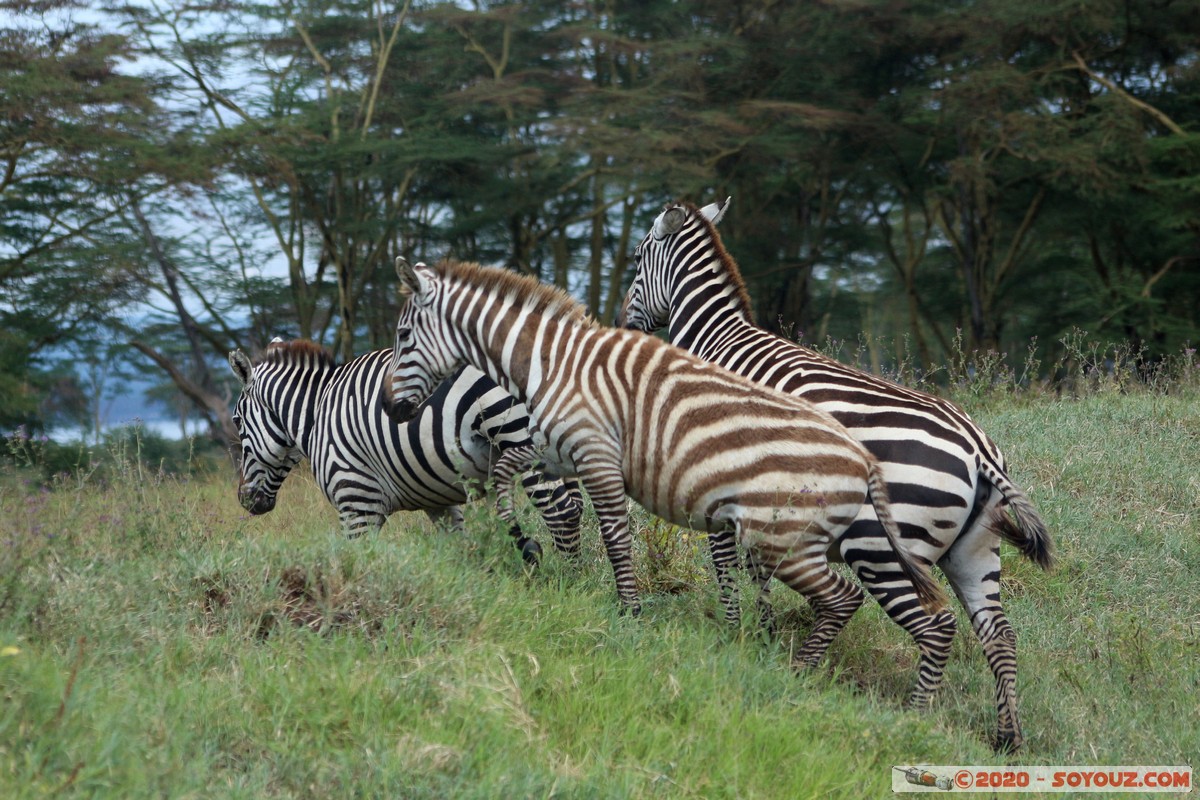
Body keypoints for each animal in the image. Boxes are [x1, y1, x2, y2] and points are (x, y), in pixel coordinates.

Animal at [228, 339, 583, 561]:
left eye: (236, 421)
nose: (243, 500)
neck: (317, 413)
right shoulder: (437, 499)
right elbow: (459, 549)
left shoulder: (357, 501)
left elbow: (360, 564)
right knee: (578, 507)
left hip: (520, 437)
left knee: (561, 511)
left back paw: (566, 581)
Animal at [380, 256, 956, 704]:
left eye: (403, 336)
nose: (390, 408)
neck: (555, 362)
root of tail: (864, 460)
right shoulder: (558, 449)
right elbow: (506, 472)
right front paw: (519, 536)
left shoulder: (597, 457)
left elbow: (615, 537)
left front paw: (629, 614)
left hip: (783, 540)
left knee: (845, 598)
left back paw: (802, 676)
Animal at [616, 198, 1052, 750]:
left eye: (635, 259)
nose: (622, 320)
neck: (717, 340)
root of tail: (978, 451)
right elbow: (758, 575)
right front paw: (762, 637)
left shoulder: (718, 480)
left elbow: (726, 569)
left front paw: (736, 633)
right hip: (974, 550)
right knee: (1000, 635)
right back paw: (1006, 736)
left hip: (883, 547)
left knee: (937, 627)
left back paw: (913, 718)